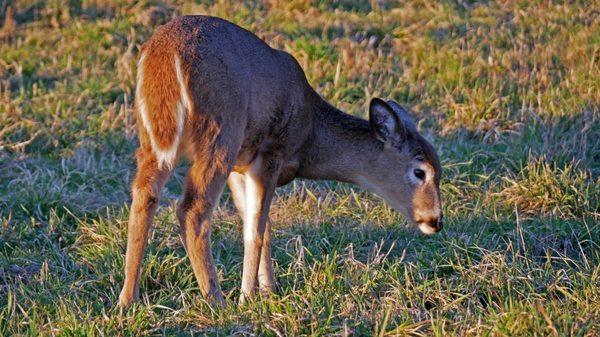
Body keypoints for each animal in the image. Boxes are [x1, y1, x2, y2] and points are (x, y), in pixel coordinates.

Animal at [119, 15, 442, 310]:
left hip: (155, 138)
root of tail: (162, 56)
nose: (436, 220)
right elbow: (256, 230)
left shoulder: (242, 165)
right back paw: (217, 300)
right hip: (222, 131)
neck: (309, 132)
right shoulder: (270, 153)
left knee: (144, 194)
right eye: (420, 171)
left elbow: (258, 224)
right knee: (192, 210)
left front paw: (270, 290)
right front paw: (248, 297)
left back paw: (127, 299)